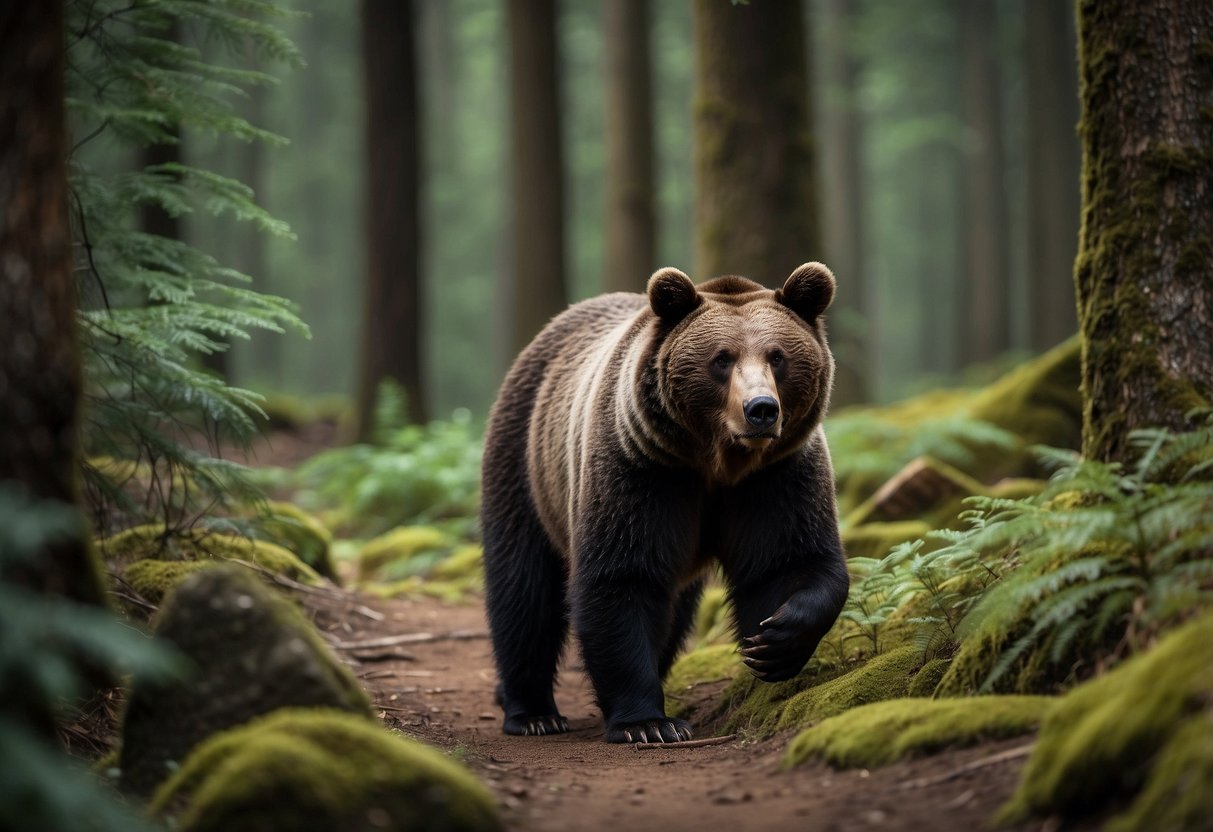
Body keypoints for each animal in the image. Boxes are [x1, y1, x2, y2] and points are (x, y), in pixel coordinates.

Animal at [477, 261, 849, 742]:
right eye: (721, 358)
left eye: (777, 356)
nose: (761, 409)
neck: (717, 464)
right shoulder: (642, 470)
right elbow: (621, 578)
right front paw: (648, 723)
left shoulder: (775, 476)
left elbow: (790, 561)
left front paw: (774, 642)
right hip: (525, 462)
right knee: (523, 589)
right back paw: (533, 712)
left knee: (674, 609)